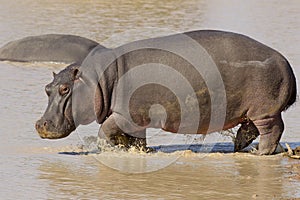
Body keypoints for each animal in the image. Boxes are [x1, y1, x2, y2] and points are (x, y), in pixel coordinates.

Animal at [34, 30, 296, 155]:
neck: (100, 79)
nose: (40, 124)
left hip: (266, 110)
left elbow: (105, 129)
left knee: (272, 130)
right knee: (250, 128)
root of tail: (285, 62)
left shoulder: (125, 115)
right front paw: (139, 151)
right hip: (253, 110)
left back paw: (259, 153)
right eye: (47, 89)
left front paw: (108, 148)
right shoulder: (135, 119)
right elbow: (137, 138)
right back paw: (240, 147)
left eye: (65, 88)